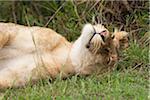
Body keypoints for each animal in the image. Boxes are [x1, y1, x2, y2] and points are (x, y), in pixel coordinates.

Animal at [0, 22, 128, 88]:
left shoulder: (15, 76)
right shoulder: (11, 30)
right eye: (112, 37)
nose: (103, 34)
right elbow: (3, 35)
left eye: (108, 59)